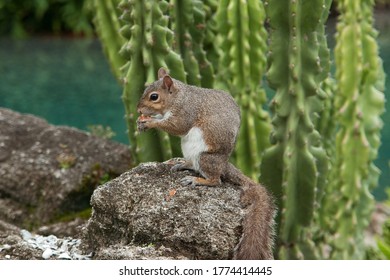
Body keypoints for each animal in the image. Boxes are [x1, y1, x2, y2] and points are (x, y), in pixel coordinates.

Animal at [136, 68, 276, 260]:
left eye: (154, 97)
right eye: (145, 89)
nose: (138, 110)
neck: (179, 97)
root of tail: (224, 163)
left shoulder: (186, 112)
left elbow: (177, 126)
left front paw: (149, 122)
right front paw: (142, 122)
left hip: (206, 158)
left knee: (216, 180)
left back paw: (198, 180)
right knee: (194, 165)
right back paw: (183, 164)